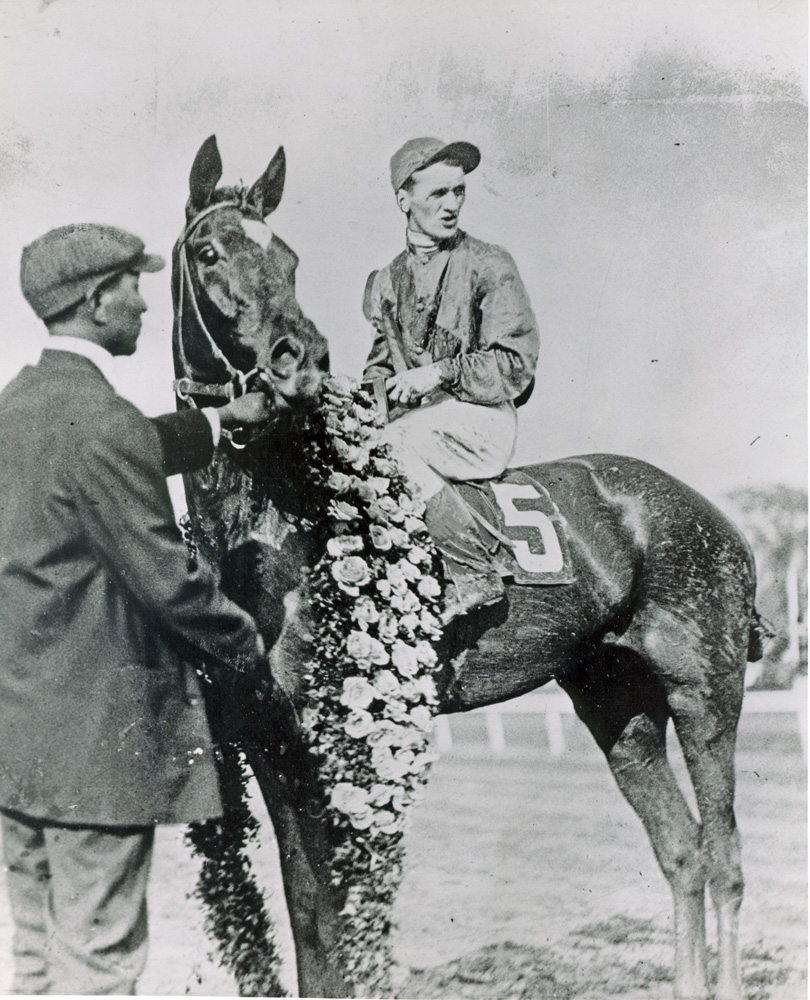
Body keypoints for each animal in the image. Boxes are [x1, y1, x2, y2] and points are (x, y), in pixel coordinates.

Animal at [172, 135, 764, 1000]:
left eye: (287, 256)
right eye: (209, 251)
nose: (297, 360)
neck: (275, 525)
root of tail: (714, 516)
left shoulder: (328, 740)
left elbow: (329, 918)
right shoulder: (264, 739)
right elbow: (305, 916)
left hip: (705, 693)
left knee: (723, 861)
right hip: (616, 704)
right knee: (682, 853)